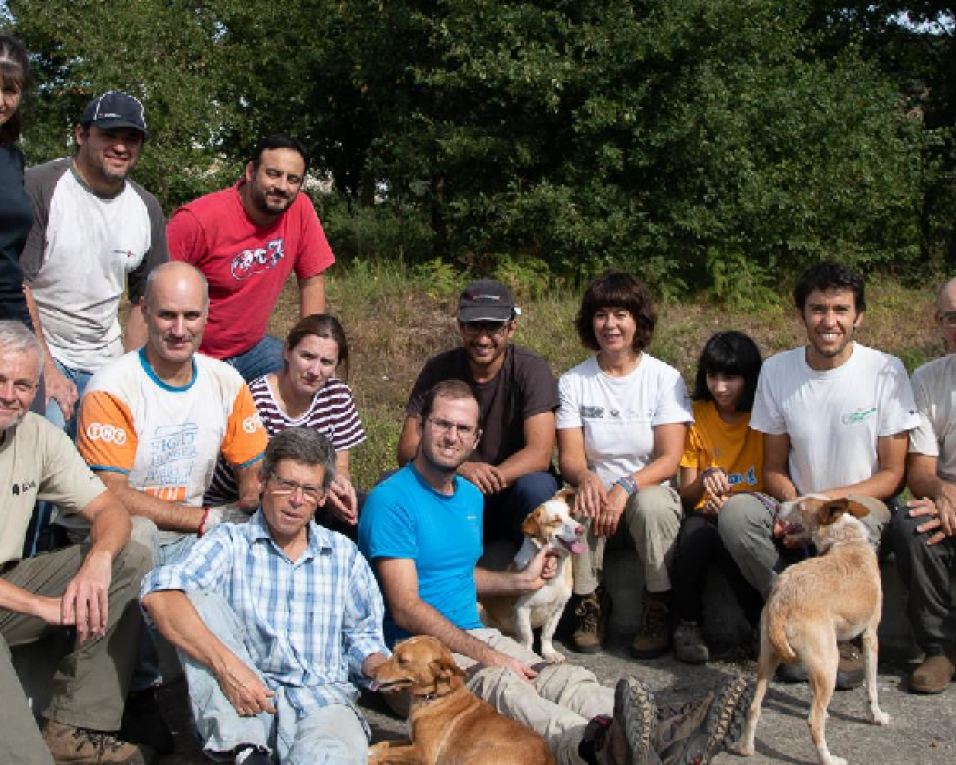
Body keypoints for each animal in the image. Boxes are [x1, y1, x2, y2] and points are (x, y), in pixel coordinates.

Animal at [370, 632, 556, 764]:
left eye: (402, 661)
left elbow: (383, 753)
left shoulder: (423, 752)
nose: (371, 671)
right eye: (393, 652)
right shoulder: (411, 741)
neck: (435, 697)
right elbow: (383, 744)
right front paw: (371, 748)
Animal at [732, 496, 888, 764]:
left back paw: (746, 748)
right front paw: (876, 716)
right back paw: (829, 758)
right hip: (829, 661)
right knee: (812, 722)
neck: (844, 540)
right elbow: (872, 686)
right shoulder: (870, 635)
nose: (777, 506)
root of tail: (781, 601)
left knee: (754, 707)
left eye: (800, 506)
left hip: (769, 659)